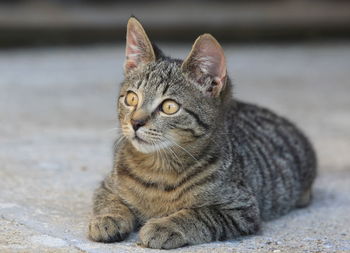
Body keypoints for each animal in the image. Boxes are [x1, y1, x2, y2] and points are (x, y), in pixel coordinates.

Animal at [87, 17, 318, 249]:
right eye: (131, 98)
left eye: (169, 107)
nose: (135, 122)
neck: (159, 168)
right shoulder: (107, 185)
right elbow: (109, 201)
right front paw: (108, 218)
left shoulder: (242, 209)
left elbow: (200, 214)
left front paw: (165, 225)